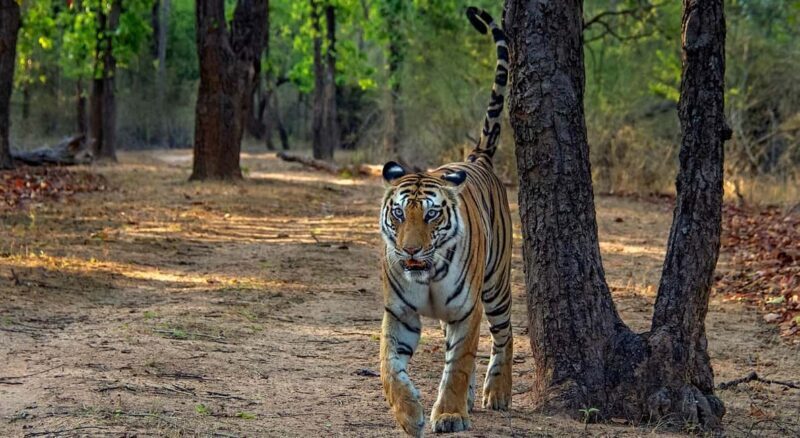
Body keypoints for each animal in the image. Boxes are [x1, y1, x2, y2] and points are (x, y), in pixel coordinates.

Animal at [378, 7, 513, 436]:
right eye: (399, 214)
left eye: (432, 214)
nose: (410, 250)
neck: (428, 276)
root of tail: (476, 157)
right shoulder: (399, 313)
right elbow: (389, 366)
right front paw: (409, 415)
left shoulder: (467, 311)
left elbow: (458, 365)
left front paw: (450, 414)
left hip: (496, 285)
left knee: (504, 335)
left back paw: (497, 393)